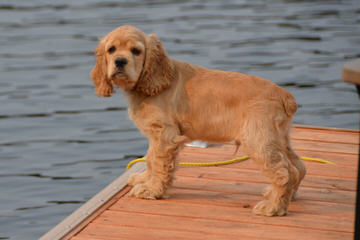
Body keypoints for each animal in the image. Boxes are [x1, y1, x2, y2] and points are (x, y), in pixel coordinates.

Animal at [91, 25, 306, 217]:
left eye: (136, 51)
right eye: (111, 49)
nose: (120, 61)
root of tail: (285, 95)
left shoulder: (165, 135)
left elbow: (158, 163)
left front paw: (152, 190)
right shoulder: (157, 135)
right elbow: (151, 158)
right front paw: (143, 179)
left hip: (257, 140)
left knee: (283, 172)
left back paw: (273, 207)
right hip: (278, 137)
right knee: (298, 168)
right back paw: (284, 198)